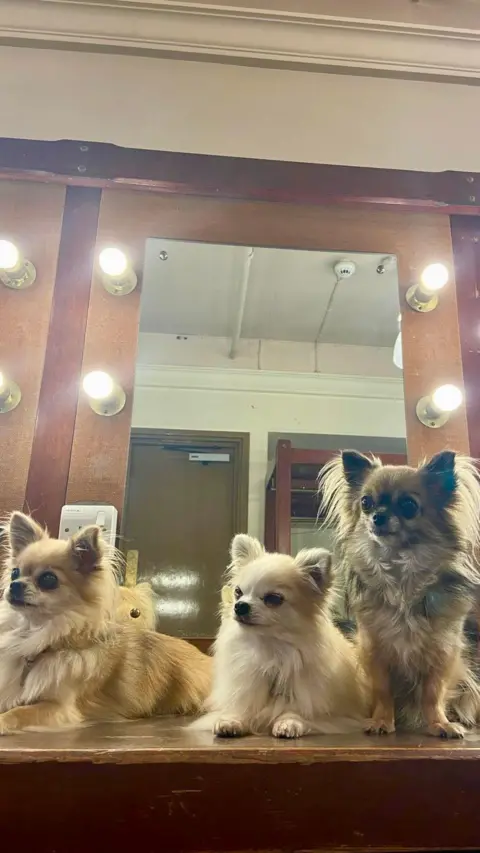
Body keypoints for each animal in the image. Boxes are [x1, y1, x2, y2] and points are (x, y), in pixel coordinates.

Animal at [0, 512, 212, 732]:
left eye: (48, 579)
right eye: (15, 573)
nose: (14, 585)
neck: (37, 635)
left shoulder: (60, 707)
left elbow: (17, 713)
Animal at [193, 536, 370, 736]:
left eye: (273, 598)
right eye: (238, 592)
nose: (240, 606)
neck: (270, 649)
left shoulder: (336, 714)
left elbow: (297, 711)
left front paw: (289, 722)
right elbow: (241, 707)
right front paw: (231, 720)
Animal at [318, 450, 480, 736]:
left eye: (408, 505)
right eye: (366, 502)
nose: (378, 516)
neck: (401, 576)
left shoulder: (442, 653)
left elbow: (433, 693)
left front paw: (440, 724)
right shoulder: (375, 651)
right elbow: (383, 691)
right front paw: (381, 721)